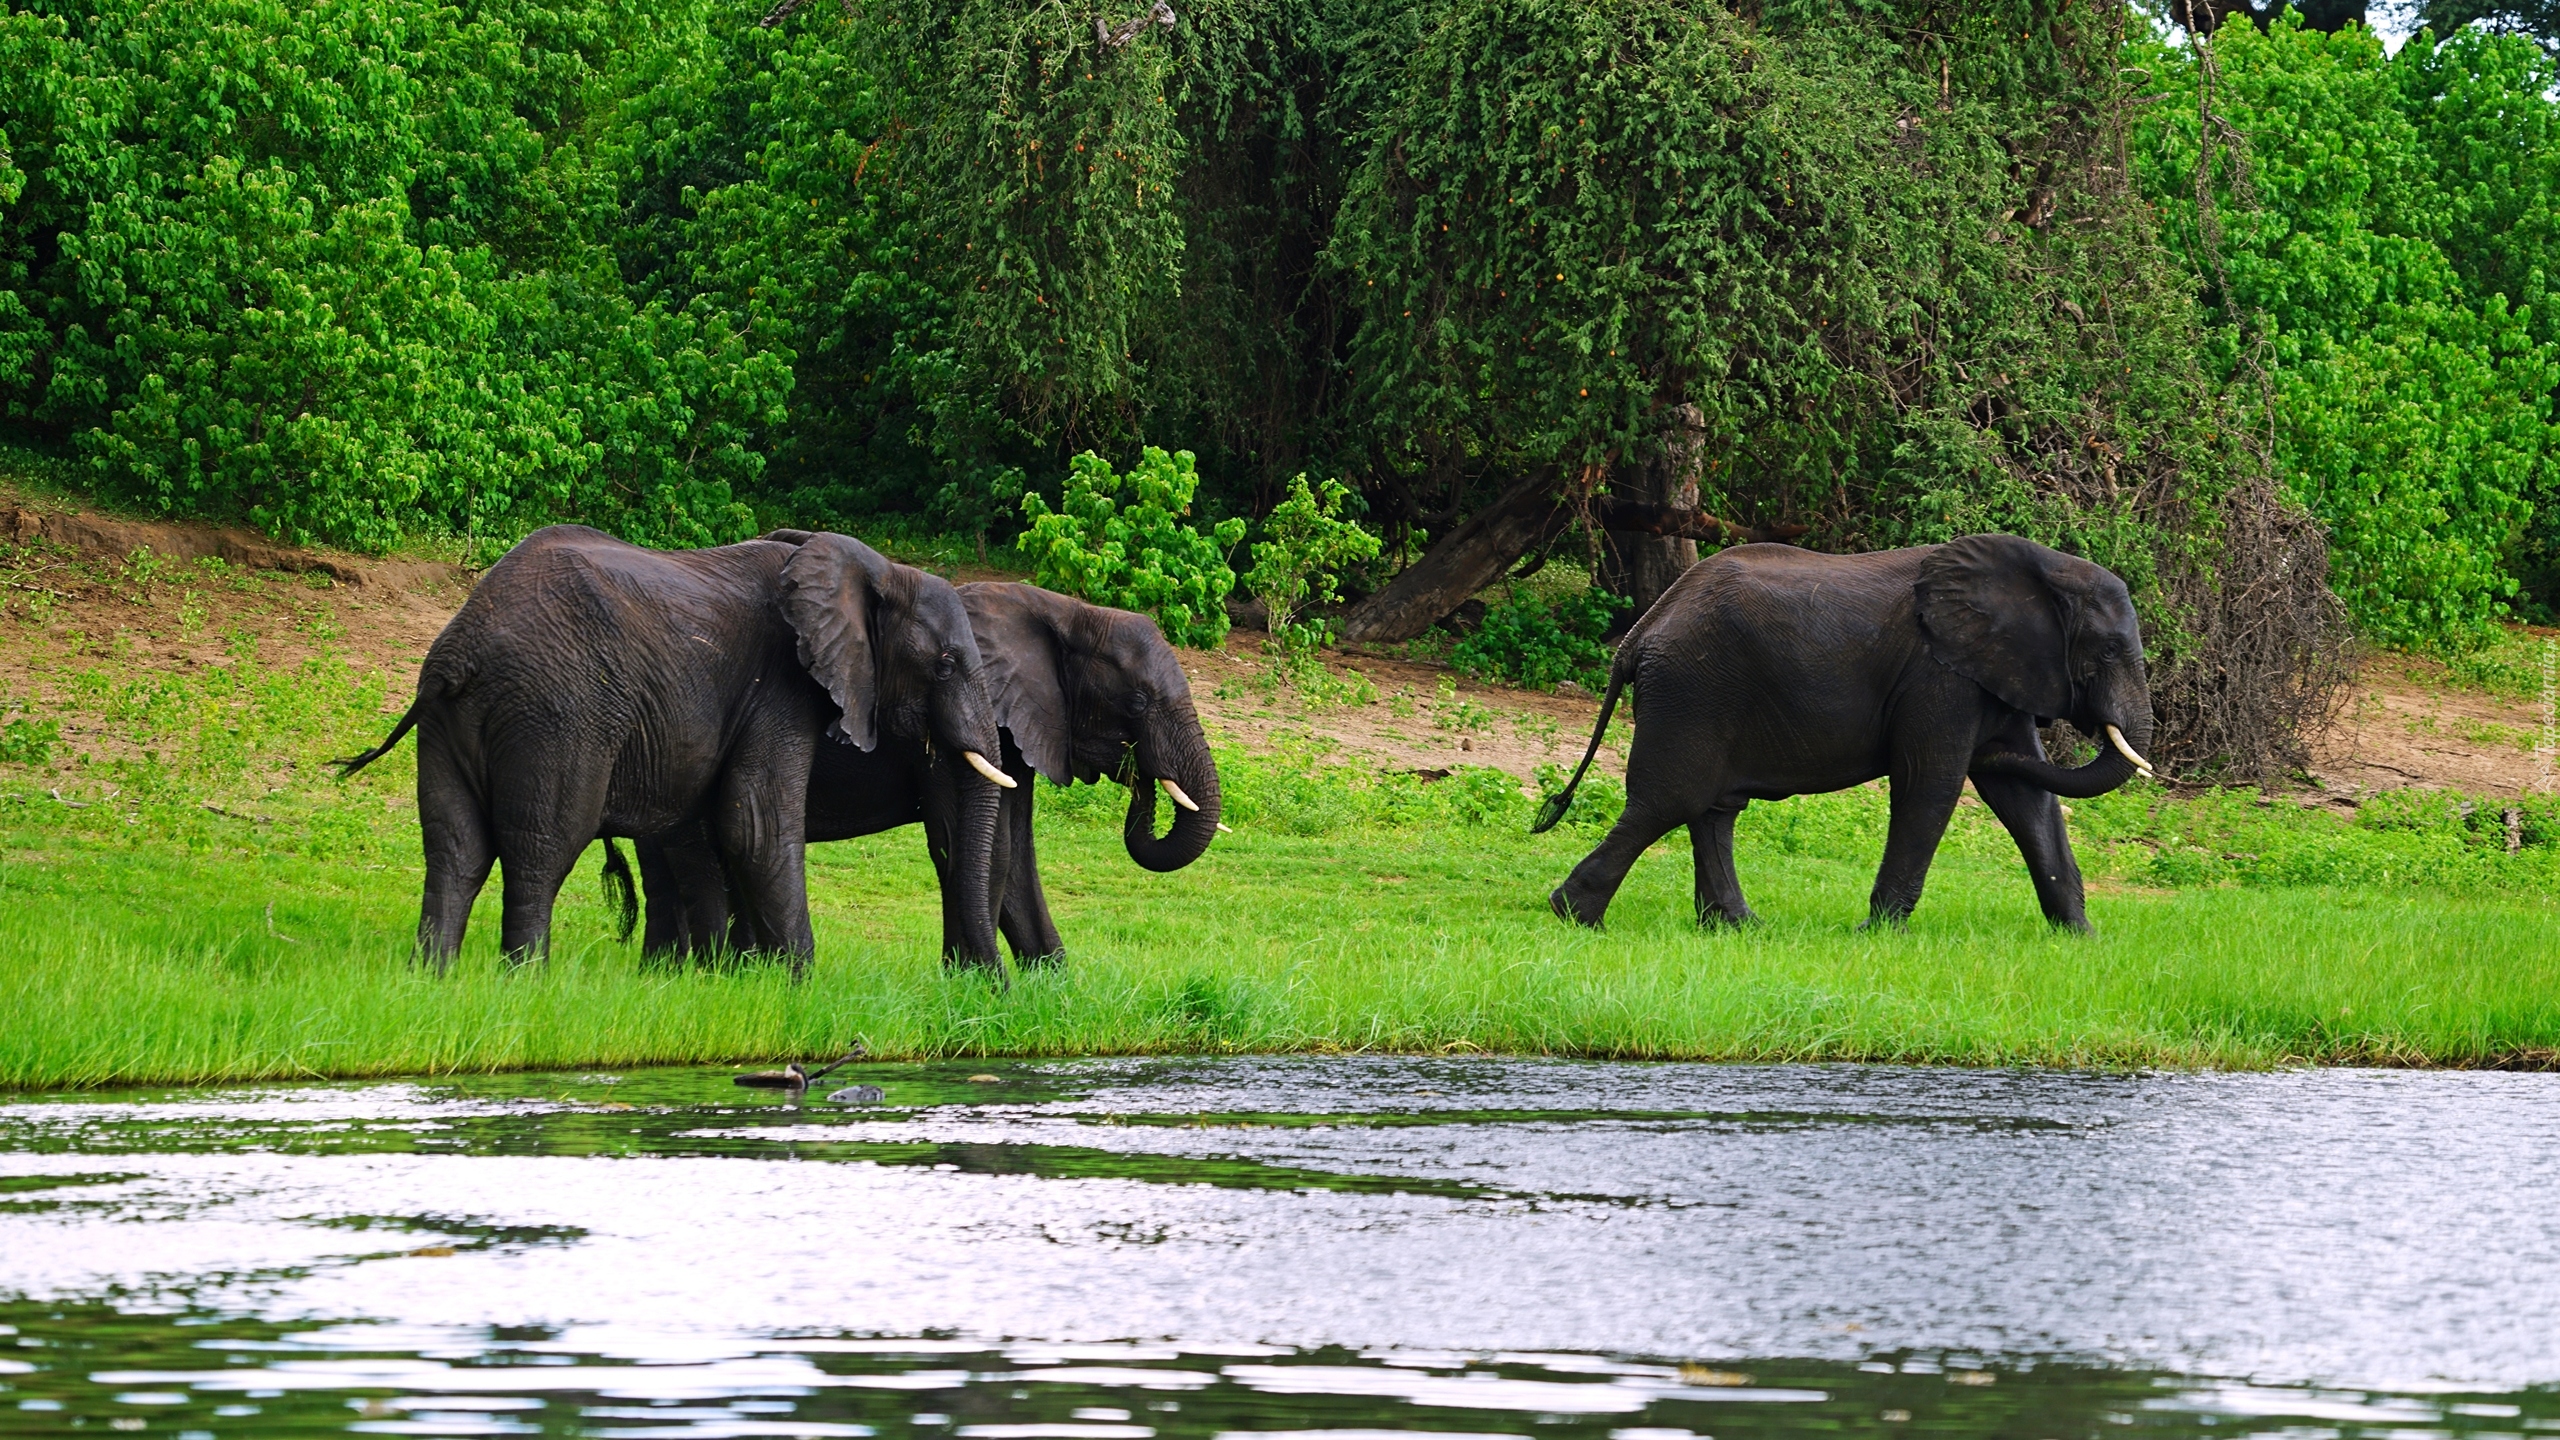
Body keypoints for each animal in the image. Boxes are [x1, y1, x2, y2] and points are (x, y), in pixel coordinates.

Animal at [335, 520, 1013, 968]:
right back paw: (523, 982)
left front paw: (737, 980)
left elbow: (714, 830)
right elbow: (756, 825)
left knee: (455, 847)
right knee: (541, 846)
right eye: (947, 664)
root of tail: (461, 650)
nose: (990, 986)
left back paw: (433, 979)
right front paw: (799, 985)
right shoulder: (781, 686)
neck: (872, 567)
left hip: (453, 723)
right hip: (558, 714)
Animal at [634, 571, 1223, 963]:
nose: (1142, 777)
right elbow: (975, 842)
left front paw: (1049, 991)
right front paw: (979, 985)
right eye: (1140, 701)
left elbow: (1013, 851)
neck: (1065, 612)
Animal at [1536, 532, 2160, 922]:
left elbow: (2025, 797)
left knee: (1711, 809)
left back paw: (1740, 928)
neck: (2044, 567)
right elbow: (1931, 783)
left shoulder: (1993, 671)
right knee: (1668, 802)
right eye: (2108, 651)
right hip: (1691, 687)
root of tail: (1643, 628)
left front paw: (2080, 939)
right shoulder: (1939, 678)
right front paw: (1879, 934)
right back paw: (1573, 915)